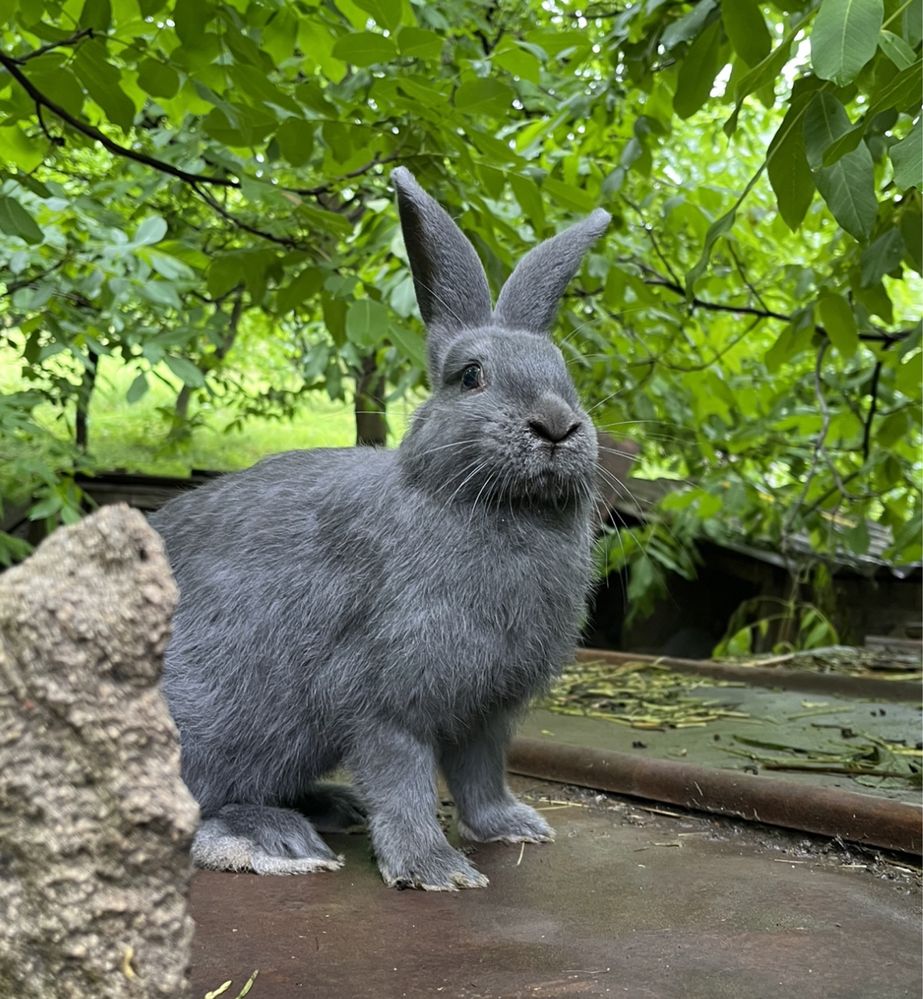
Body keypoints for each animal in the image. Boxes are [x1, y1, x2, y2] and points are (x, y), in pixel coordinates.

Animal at [151, 170, 608, 892]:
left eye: (565, 372)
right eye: (470, 377)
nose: (558, 425)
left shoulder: (488, 711)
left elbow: (481, 775)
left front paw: (513, 826)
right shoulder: (383, 699)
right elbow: (403, 781)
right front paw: (435, 870)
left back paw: (330, 808)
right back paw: (271, 838)